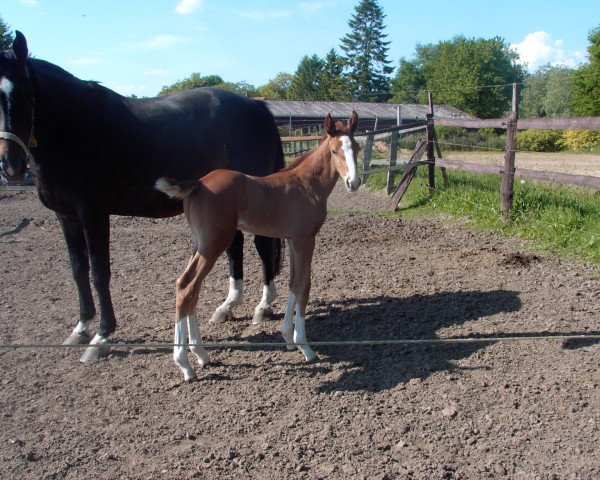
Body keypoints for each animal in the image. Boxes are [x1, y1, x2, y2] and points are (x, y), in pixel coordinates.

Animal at [0, 31, 284, 362]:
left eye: (24, 94)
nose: (10, 166)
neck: (75, 129)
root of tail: (256, 108)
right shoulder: (66, 216)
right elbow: (78, 271)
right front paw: (81, 328)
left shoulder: (93, 215)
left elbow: (99, 273)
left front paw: (101, 337)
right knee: (234, 246)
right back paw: (227, 306)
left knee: (263, 246)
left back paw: (263, 307)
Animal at [156, 110, 360, 380]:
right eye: (336, 151)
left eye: (356, 148)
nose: (354, 183)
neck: (306, 184)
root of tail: (198, 183)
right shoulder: (305, 240)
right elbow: (303, 287)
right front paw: (305, 347)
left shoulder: (293, 240)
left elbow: (293, 284)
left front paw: (288, 338)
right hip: (214, 243)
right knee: (187, 286)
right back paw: (185, 365)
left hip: (200, 243)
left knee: (190, 288)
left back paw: (201, 355)